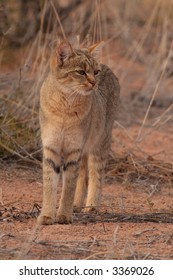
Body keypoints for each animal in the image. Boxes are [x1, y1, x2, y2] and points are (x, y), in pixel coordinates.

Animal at [37, 39, 119, 224]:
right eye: (81, 72)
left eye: (95, 72)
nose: (94, 82)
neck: (65, 105)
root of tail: (108, 67)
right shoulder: (51, 148)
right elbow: (49, 185)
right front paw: (47, 215)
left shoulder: (74, 149)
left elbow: (69, 185)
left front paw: (64, 215)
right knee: (82, 175)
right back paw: (77, 204)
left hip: (100, 143)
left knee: (95, 174)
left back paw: (91, 206)